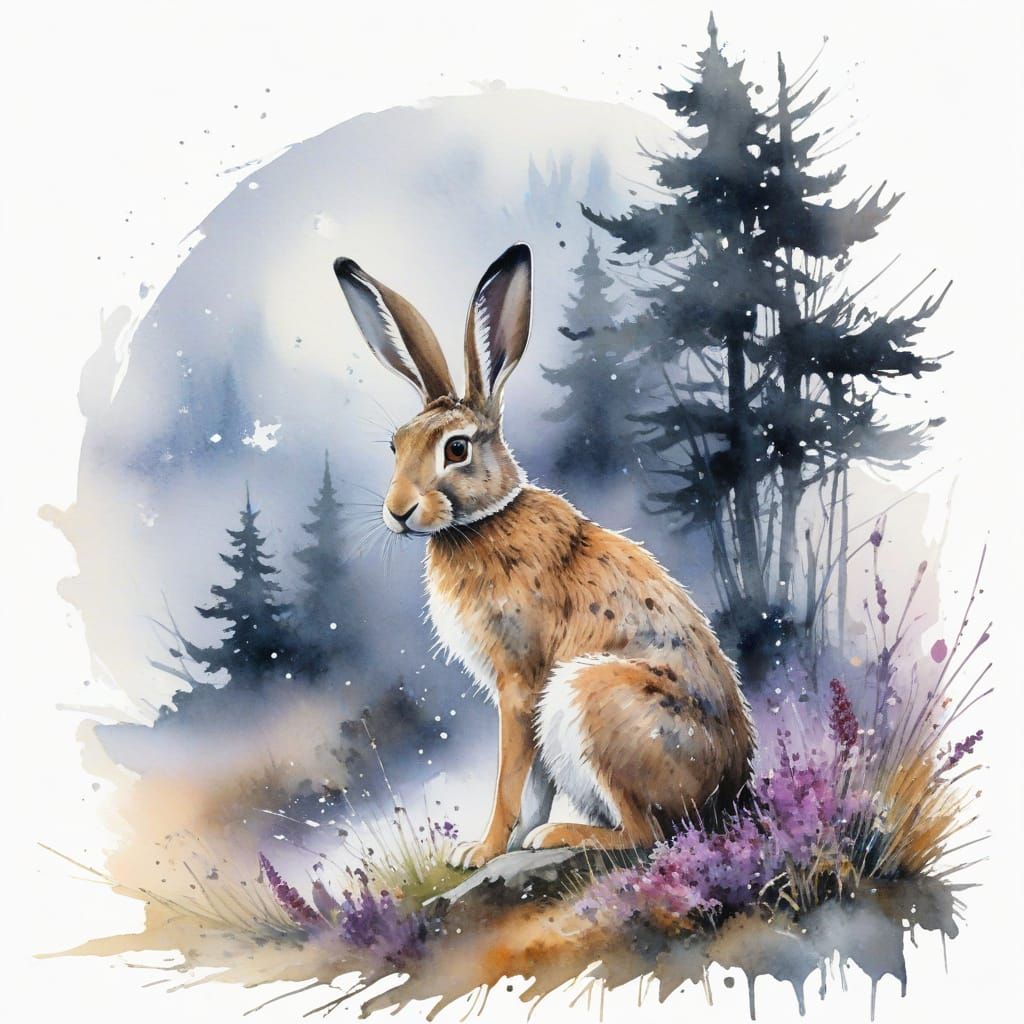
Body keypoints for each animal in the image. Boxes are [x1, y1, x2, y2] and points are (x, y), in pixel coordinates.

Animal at [333, 242, 755, 869]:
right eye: (394, 446)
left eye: (455, 449)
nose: (399, 511)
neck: (481, 521)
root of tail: (733, 794)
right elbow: (531, 785)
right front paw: (493, 849)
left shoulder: (520, 681)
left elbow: (511, 778)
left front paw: (482, 851)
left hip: (593, 700)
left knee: (648, 833)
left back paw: (561, 836)